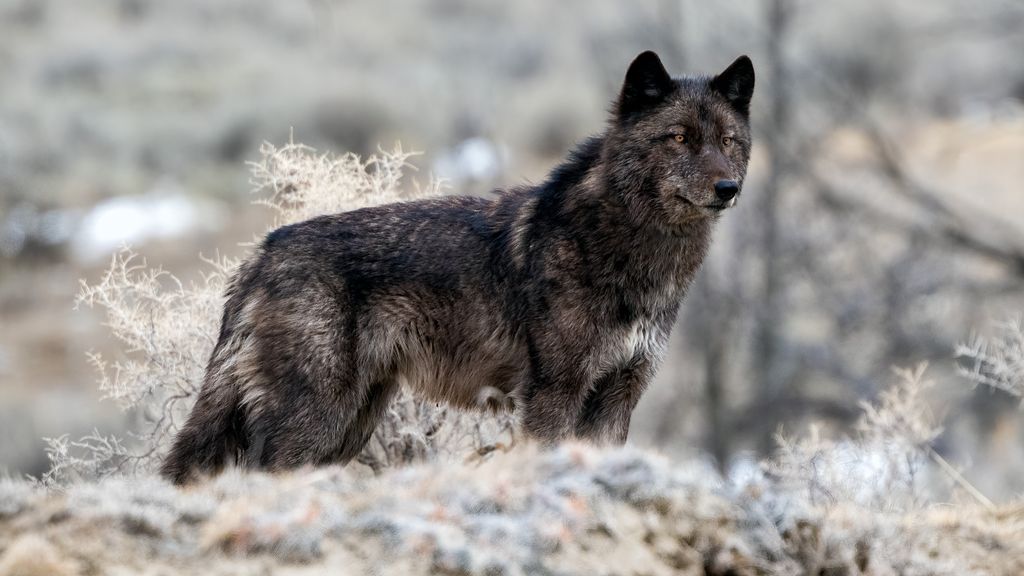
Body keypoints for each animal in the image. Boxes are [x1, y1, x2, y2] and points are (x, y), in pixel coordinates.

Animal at [159, 49, 753, 481]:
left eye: (728, 140)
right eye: (679, 137)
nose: (729, 188)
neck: (631, 251)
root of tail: (263, 252)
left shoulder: (617, 398)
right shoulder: (553, 396)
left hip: (349, 426)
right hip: (315, 420)